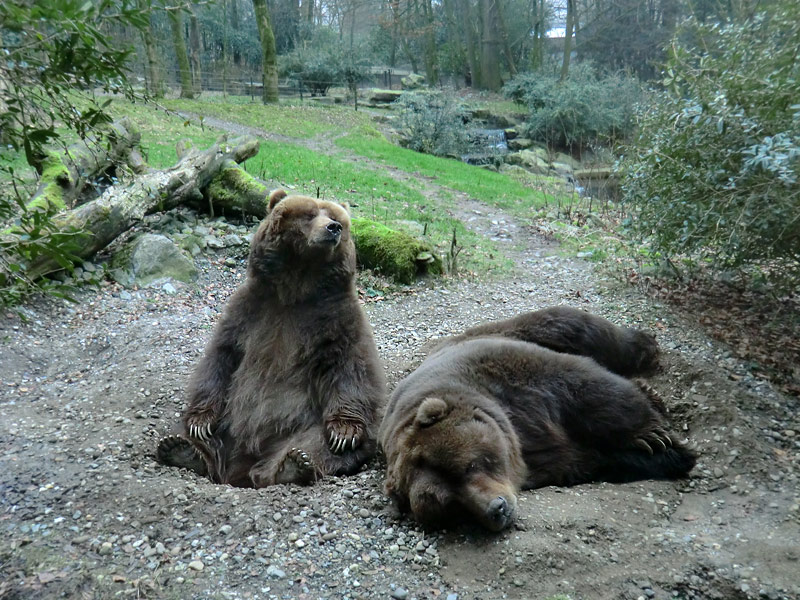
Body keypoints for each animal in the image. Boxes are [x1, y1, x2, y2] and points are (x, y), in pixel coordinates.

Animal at [157, 190, 388, 486]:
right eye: (310, 214)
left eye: (337, 218)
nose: (333, 228)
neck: (296, 288)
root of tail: (243, 463)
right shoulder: (249, 311)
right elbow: (221, 357)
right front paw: (200, 422)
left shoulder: (337, 317)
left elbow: (351, 367)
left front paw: (344, 433)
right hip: (228, 424)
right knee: (199, 434)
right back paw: (182, 449)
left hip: (302, 427)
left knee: (318, 443)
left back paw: (293, 464)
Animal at [378, 308, 696, 532]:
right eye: (452, 507)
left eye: (469, 466)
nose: (496, 509)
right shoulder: (544, 459)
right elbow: (593, 459)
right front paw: (668, 455)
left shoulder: (507, 373)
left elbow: (584, 385)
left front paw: (654, 436)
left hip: (521, 329)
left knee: (583, 328)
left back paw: (646, 351)